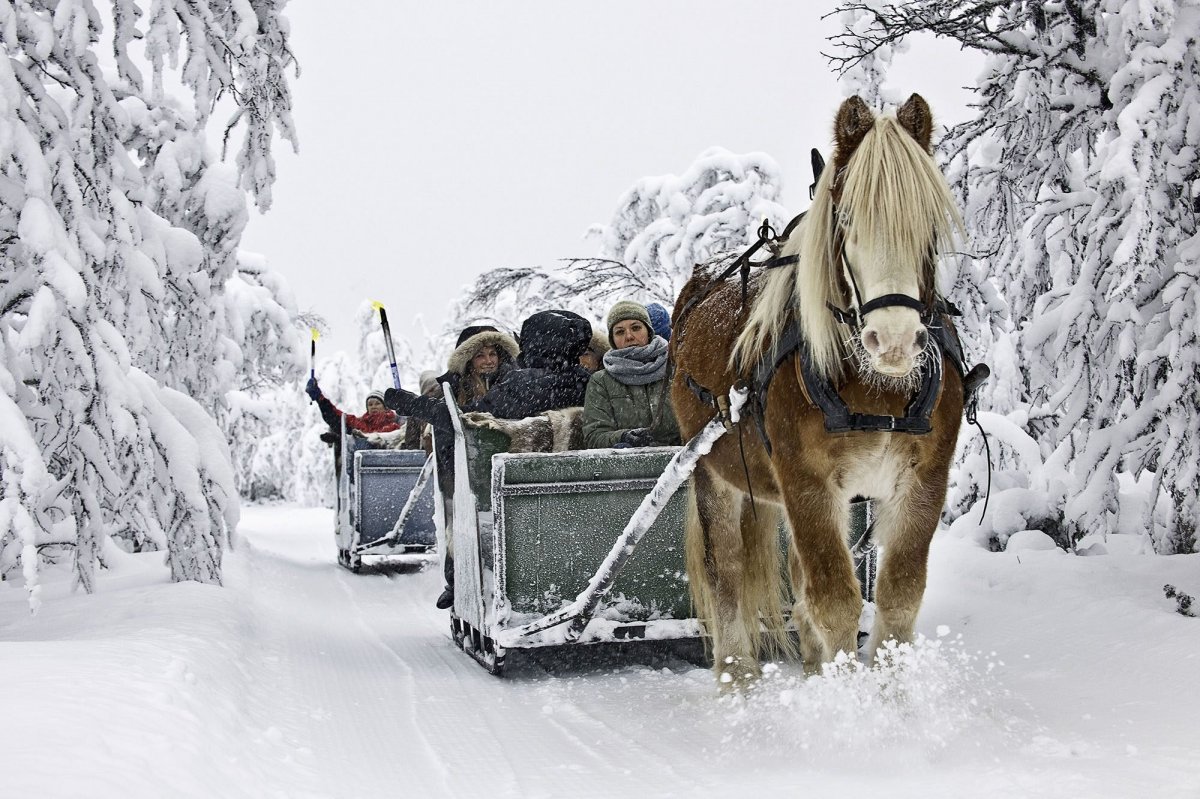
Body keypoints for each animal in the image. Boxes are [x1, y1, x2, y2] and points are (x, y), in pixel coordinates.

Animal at [672, 93, 969, 686]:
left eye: (927, 219)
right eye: (847, 217)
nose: (894, 340)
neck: (877, 392)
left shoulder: (922, 482)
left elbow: (897, 600)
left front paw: (887, 699)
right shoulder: (808, 481)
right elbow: (835, 602)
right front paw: (846, 704)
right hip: (712, 471)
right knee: (726, 571)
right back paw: (737, 676)